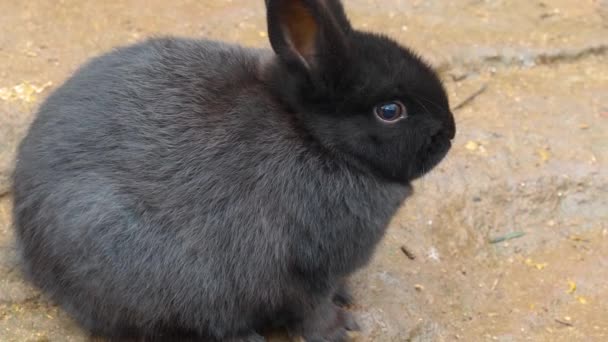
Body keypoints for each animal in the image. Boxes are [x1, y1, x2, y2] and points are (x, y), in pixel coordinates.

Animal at [11, 1, 454, 340]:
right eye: (390, 111)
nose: (450, 133)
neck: (314, 137)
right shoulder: (307, 272)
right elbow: (312, 312)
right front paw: (341, 328)